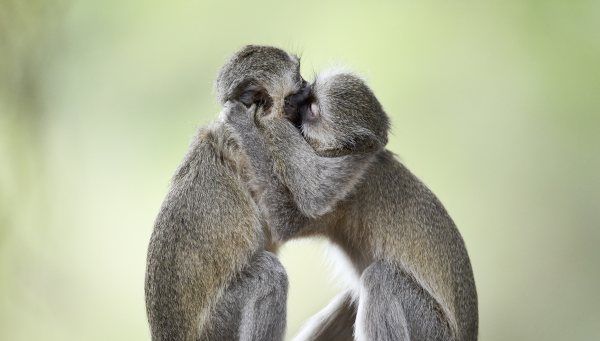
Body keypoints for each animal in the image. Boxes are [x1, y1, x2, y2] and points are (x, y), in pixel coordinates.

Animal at [144, 45, 304, 340]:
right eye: (298, 85)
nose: (310, 90)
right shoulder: (248, 157)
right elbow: (289, 221)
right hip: (217, 328)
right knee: (268, 273)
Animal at [224, 67, 478, 338]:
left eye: (312, 108)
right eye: (308, 91)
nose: (293, 101)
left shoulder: (343, 193)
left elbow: (285, 223)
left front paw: (245, 124)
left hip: (431, 329)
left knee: (381, 280)